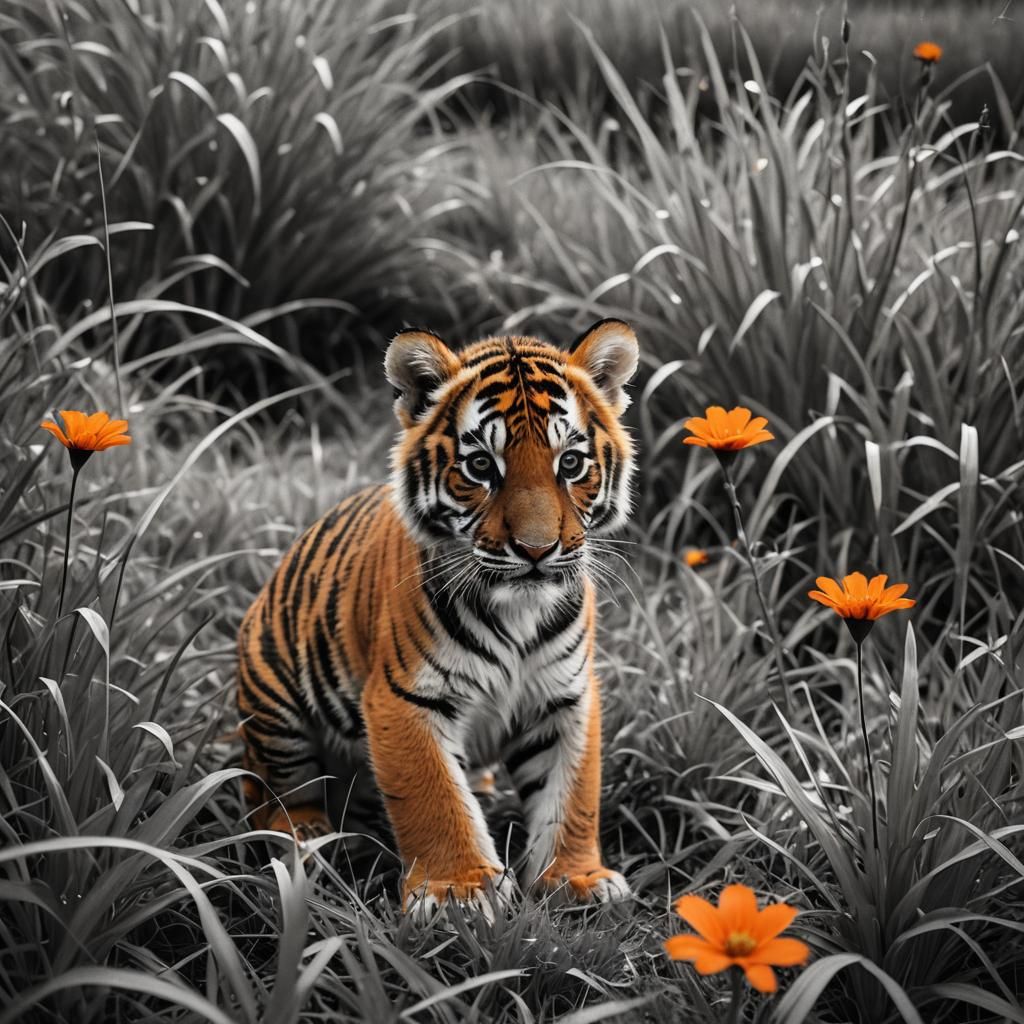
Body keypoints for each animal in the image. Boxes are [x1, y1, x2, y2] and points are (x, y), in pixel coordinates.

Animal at [237, 318, 640, 913]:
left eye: (570, 463)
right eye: (480, 466)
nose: (537, 550)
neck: (519, 611)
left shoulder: (565, 696)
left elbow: (572, 796)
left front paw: (576, 878)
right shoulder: (405, 696)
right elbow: (436, 797)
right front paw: (461, 891)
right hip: (274, 701)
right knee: (272, 793)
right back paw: (308, 837)